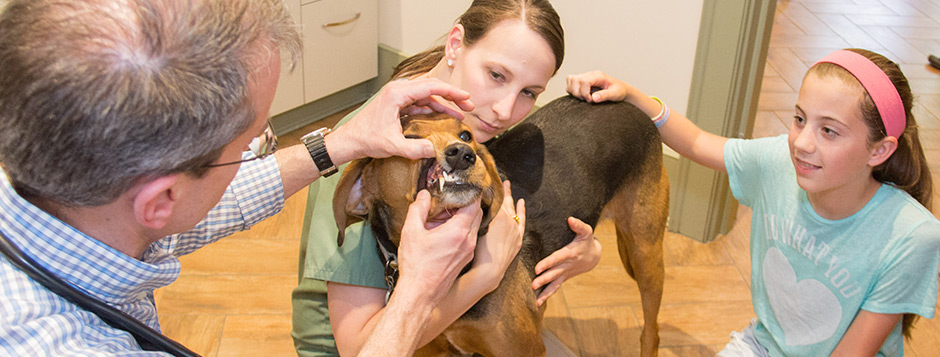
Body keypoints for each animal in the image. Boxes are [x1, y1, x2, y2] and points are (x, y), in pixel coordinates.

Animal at [330, 95, 668, 356]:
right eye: (408, 139)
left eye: (466, 136)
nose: (463, 155)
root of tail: (631, 105)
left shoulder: (524, 350)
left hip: (646, 255)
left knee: (652, 331)